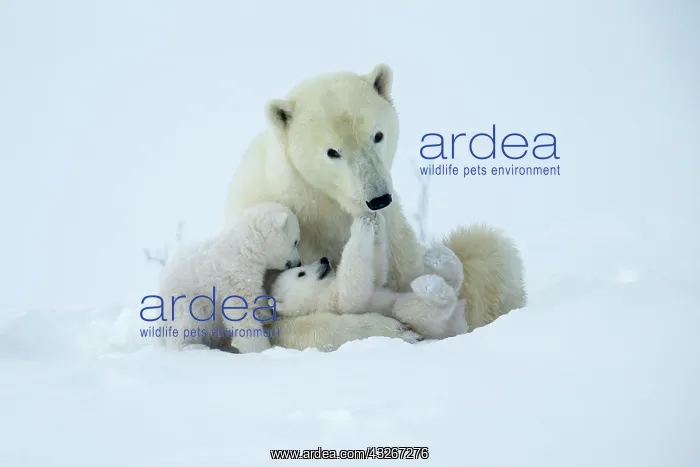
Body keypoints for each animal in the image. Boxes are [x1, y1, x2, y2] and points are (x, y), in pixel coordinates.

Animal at [158, 202, 302, 354]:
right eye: (295, 242)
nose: (299, 262)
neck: (246, 248)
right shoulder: (234, 276)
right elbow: (240, 312)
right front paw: (262, 350)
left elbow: (255, 295)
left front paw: (265, 313)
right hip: (184, 301)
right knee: (185, 323)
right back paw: (193, 346)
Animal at [268, 212, 468, 342]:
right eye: (301, 273)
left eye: (300, 268)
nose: (324, 260)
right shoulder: (329, 302)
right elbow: (353, 292)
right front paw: (361, 225)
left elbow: (376, 273)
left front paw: (376, 221)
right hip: (418, 318)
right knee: (415, 309)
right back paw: (428, 285)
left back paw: (439, 257)